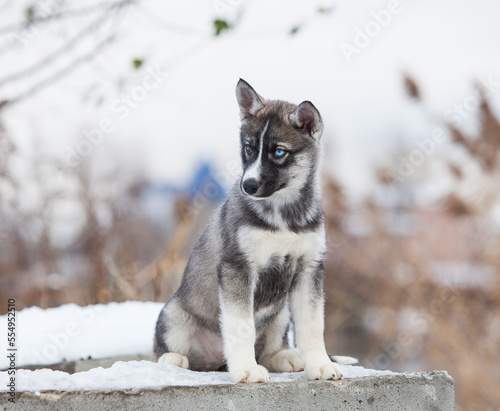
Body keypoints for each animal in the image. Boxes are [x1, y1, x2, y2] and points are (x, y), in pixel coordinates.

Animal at [154, 79, 342, 384]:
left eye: (279, 152)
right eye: (249, 148)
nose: (248, 186)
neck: (283, 214)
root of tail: (216, 360)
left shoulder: (310, 268)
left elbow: (312, 325)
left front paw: (320, 365)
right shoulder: (238, 266)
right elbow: (241, 326)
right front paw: (246, 369)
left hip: (280, 314)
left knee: (268, 349)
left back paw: (286, 358)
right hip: (174, 313)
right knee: (166, 349)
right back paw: (174, 359)